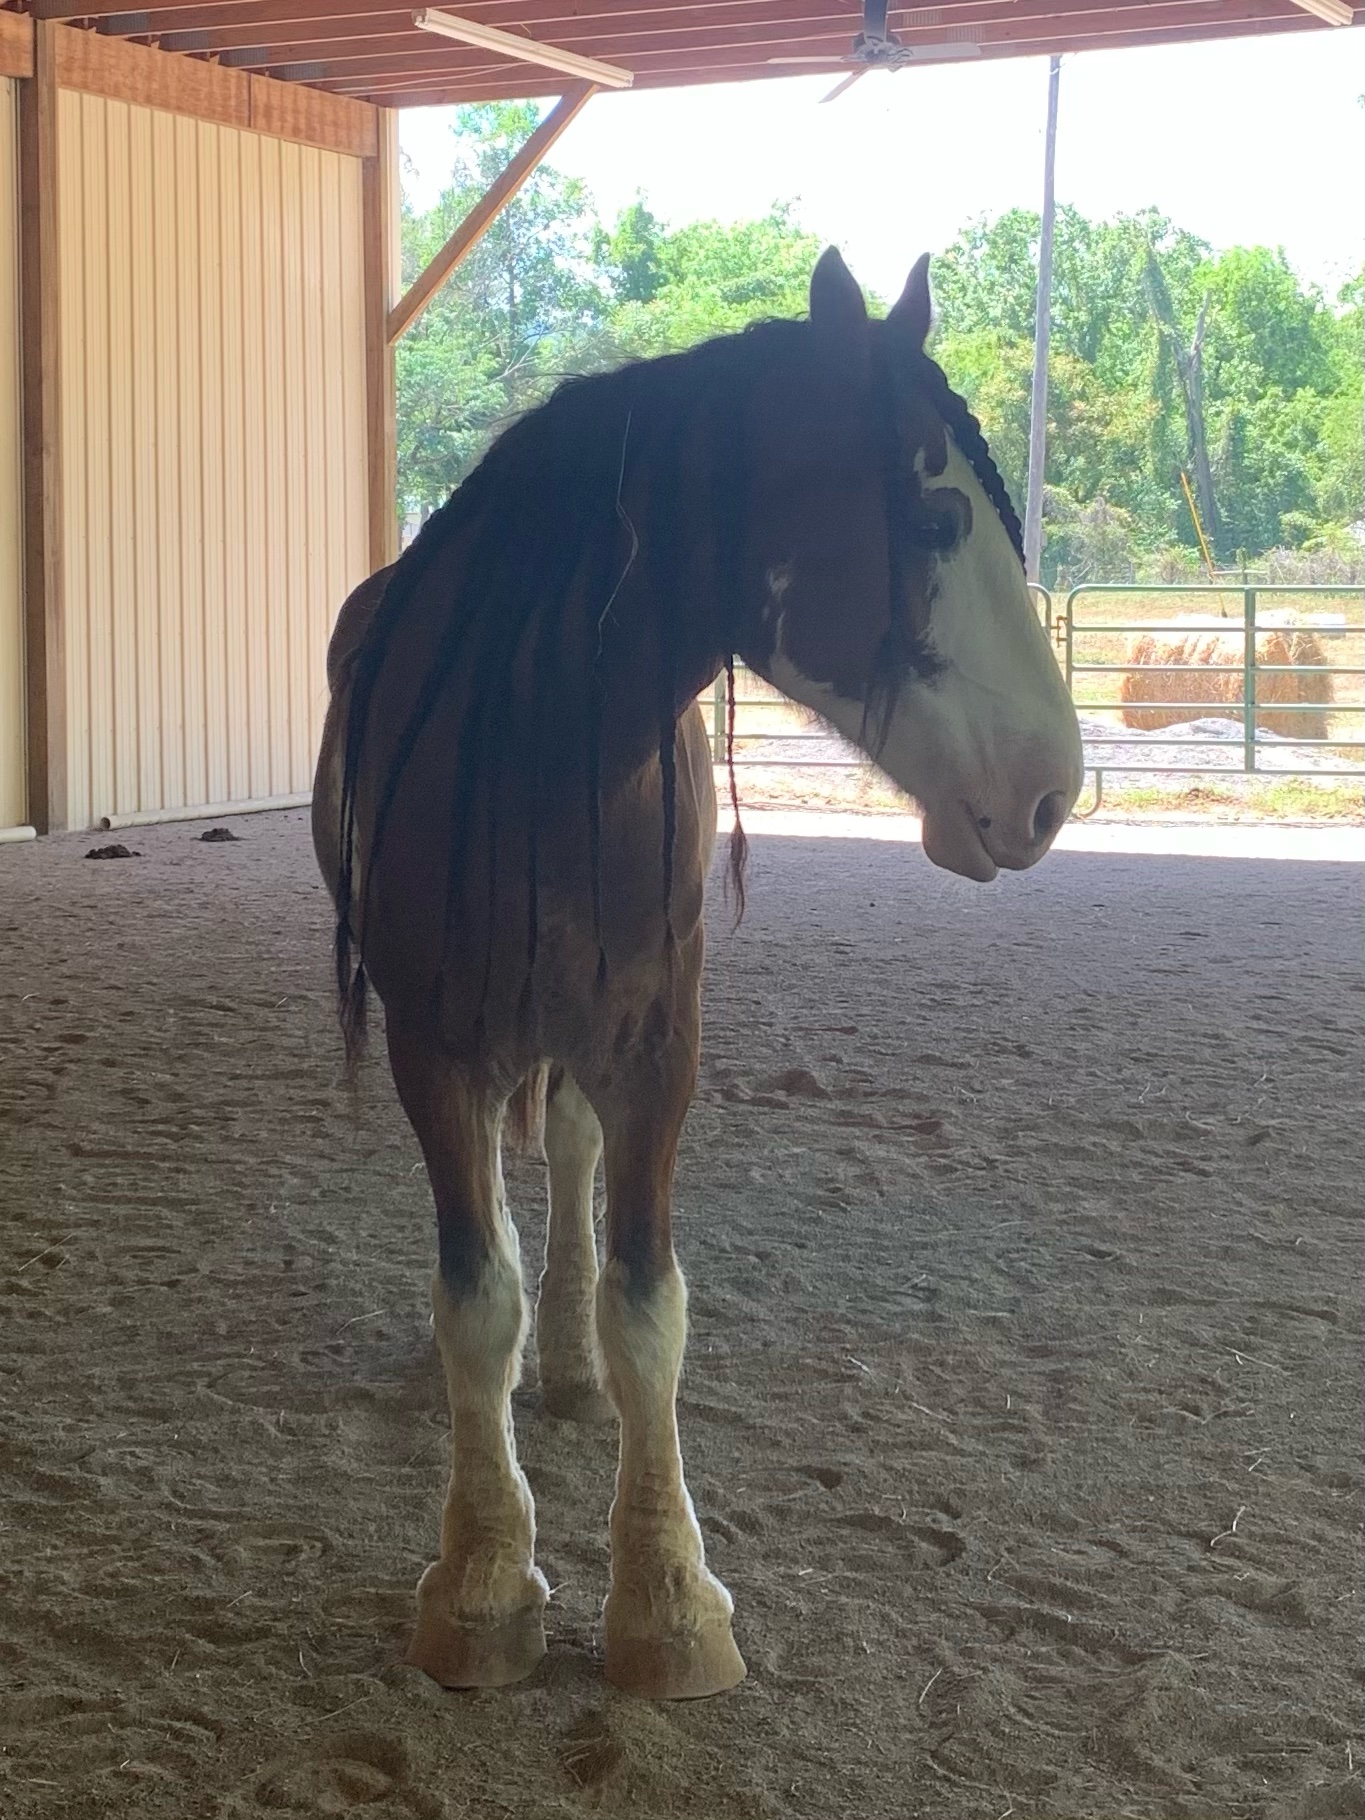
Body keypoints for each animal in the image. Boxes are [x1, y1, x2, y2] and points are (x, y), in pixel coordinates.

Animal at [312, 247, 1082, 1701]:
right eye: (937, 516)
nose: (1050, 793)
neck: (539, 744)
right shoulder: (435, 1046)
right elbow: (473, 1296)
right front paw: (484, 1580)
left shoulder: (654, 1043)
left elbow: (646, 1306)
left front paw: (667, 1600)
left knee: (565, 1158)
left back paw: (564, 1368)